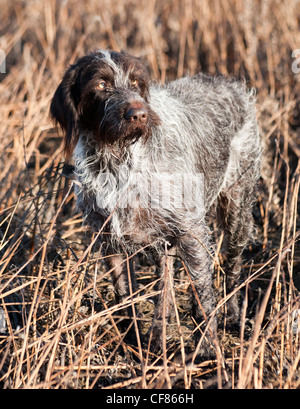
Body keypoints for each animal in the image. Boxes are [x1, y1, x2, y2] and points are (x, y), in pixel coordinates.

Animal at [50, 47, 262, 354]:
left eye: (136, 83)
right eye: (101, 85)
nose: (138, 114)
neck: (117, 160)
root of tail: (229, 82)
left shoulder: (189, 230)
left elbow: (203, 295)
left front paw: (208, 350)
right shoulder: (110, 239)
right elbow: (124, 295)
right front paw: (133, 339)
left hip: (237, 211)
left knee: (231, 268)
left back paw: (233, 316)